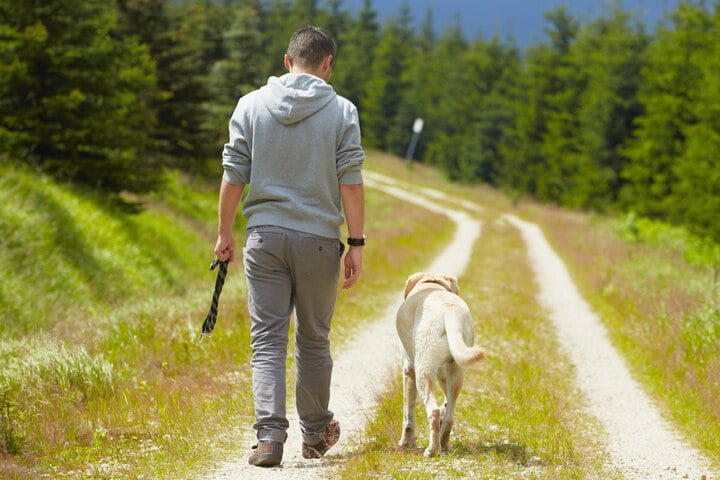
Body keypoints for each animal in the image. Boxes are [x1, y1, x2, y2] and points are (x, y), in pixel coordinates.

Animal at [396, 272, 486, 456]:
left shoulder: (409, 370)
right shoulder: (443, 372)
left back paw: (432, 450)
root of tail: (450, 312)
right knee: (449, 414)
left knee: (434, 410)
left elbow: (408, 414)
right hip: (457, 371)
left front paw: (406, 443)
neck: (431, 283)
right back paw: (443, 443)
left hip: (423, 372)